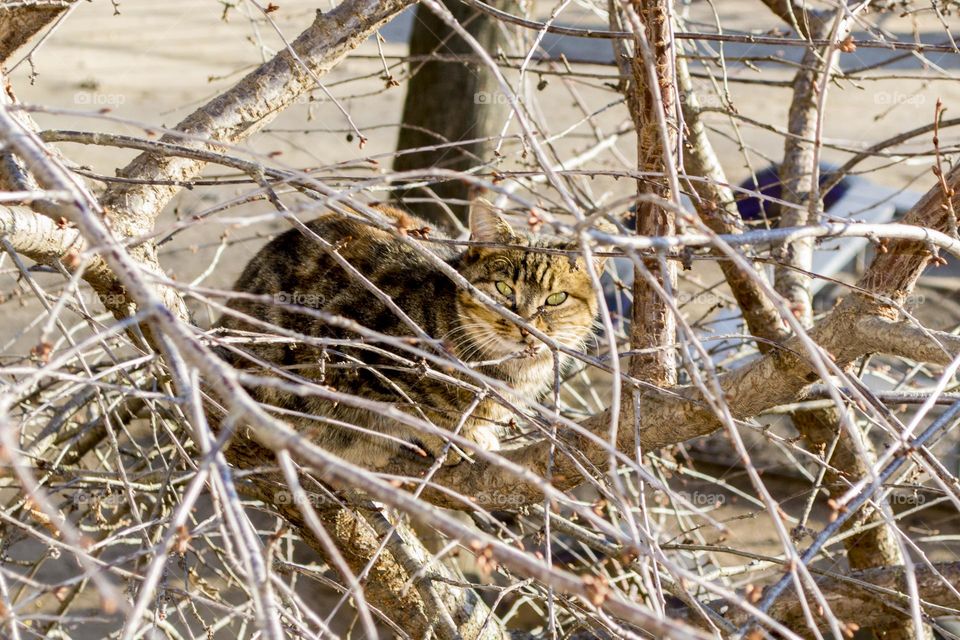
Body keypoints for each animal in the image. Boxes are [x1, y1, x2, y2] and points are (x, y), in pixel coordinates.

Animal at [219, 202, 600, 468]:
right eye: (503, 289)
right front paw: (451, 436)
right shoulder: (353, 353)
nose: (525, 326)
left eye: (556, 299)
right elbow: (409, 406)